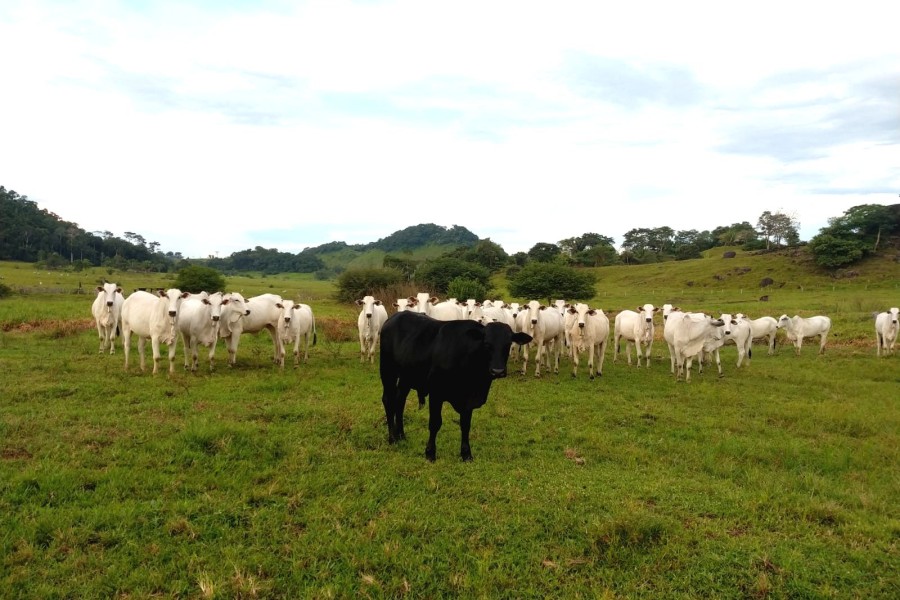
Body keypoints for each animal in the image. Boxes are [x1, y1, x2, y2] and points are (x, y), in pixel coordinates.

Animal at [378, 311, 532, 461]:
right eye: (487, 344)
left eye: (508, 345)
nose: (497, 371)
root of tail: (395, 317)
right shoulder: (436, 393)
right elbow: (435, 423)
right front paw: (430, 453)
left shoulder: (468, 400)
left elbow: (465, 425)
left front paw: (466, 454)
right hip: (388, 371)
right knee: (388, 400)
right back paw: (392, 438)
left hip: (406, 377)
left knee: (400, 401)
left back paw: (401, 436)